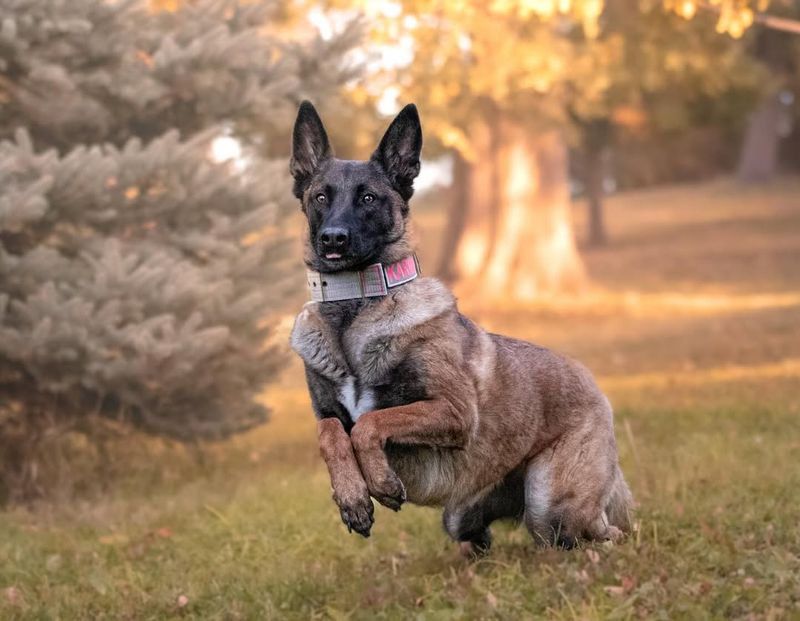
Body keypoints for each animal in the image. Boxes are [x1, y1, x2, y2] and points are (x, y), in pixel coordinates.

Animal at [288, 101, 632, 556]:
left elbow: (370, 423)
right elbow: (331, 432)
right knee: (478, 534)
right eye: (321, 197)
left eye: (368, 198)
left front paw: (378, 481)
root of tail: (595, 386)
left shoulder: (453, 410)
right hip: (461, 516)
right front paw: (352, 498)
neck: (355, 309)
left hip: (553, 506)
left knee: (605, 532)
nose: (333, 239)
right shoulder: (328, 414)